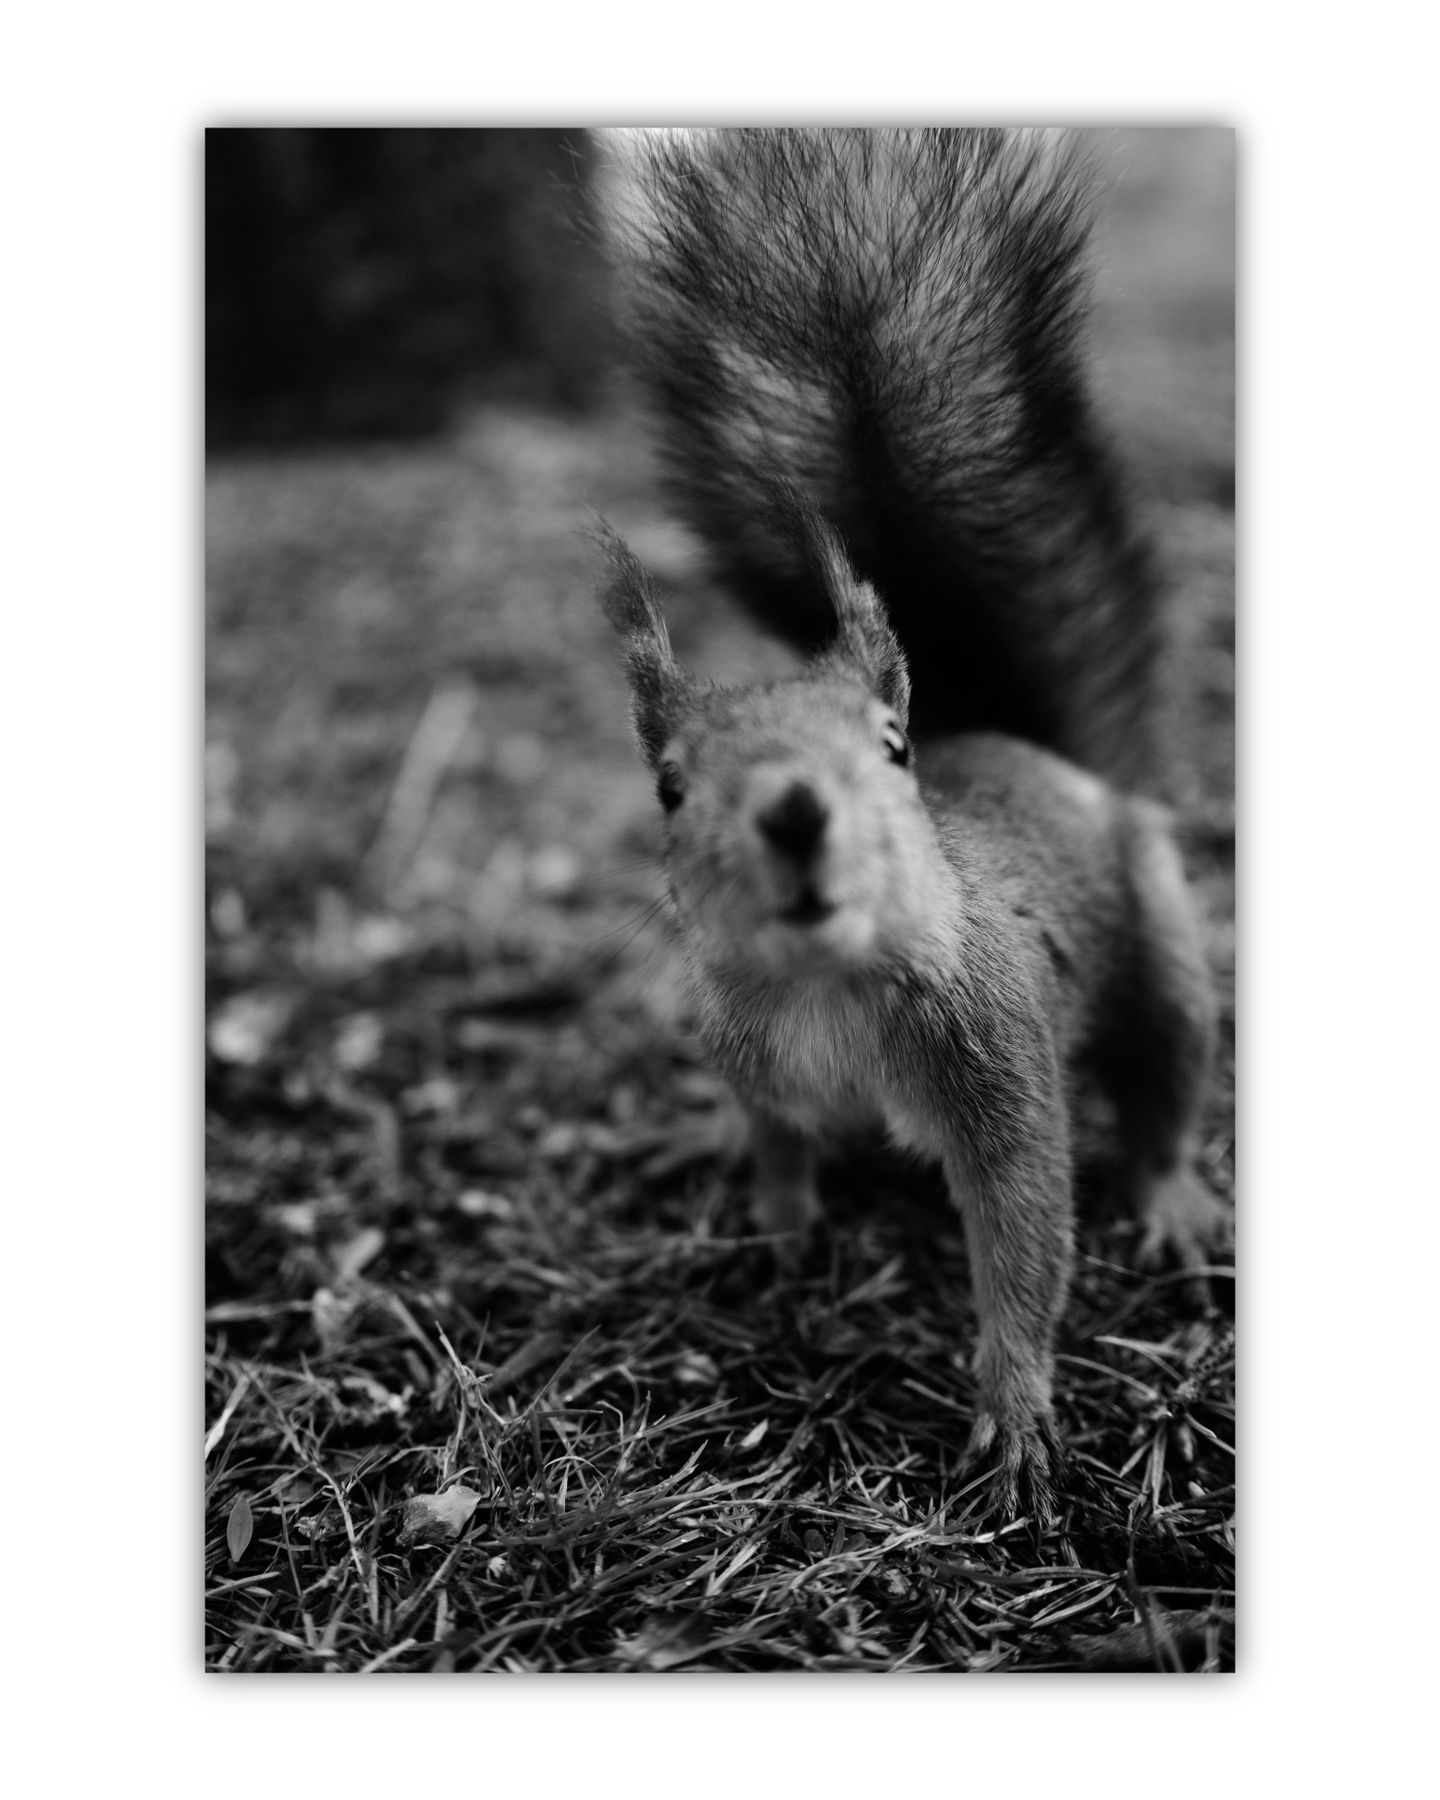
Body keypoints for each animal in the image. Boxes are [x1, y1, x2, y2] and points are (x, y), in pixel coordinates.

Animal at [592, 130, 1229, 1518]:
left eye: (889, 748)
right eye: (667, 786)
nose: (795, 809)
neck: (828, 986)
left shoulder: (1002, 1065)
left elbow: (1027, 1231)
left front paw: (1018, 1408)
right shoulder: (754, 1061)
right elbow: (778, 1145)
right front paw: (775, 1227)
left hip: (1162, 946)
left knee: (1166, 1078)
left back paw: (1170, 1200)